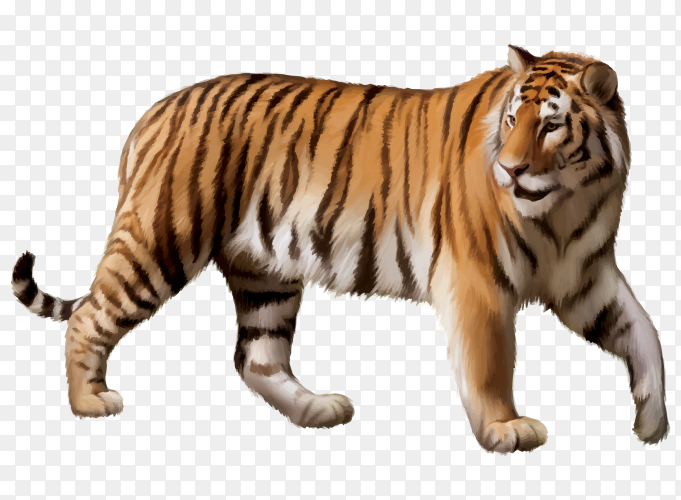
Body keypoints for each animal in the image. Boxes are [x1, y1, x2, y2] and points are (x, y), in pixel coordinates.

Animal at [12, 45, 668, 453]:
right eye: (512, 121)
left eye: (551, 125)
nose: (508, 171)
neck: (568, 205)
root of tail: (152, 113)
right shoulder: (478, 281)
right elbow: (490, 362)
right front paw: (506, 429)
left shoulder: (584, 276)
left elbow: (643, 332)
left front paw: (652, 421)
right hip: (160, 243)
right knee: (90, 317)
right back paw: (90, 402)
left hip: (265, 272)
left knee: (257, 357)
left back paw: (318, 409)